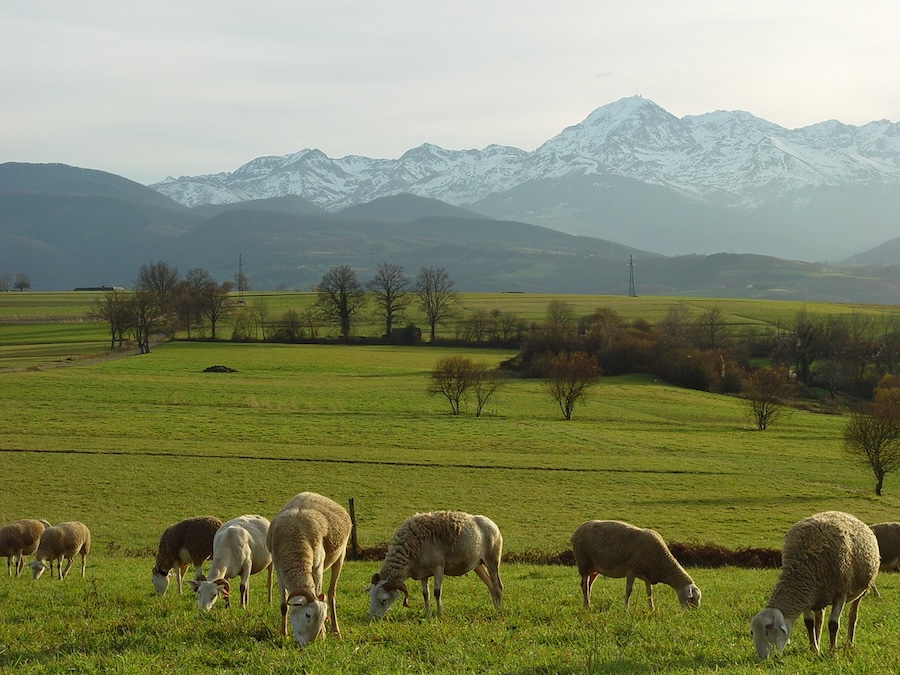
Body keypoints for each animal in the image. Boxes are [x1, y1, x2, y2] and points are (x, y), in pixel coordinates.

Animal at [266, 494, 350, 648]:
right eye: (307, 615)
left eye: (322, 617)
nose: (307, 645)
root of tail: (312, 494)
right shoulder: (279, 572)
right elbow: (283, 606)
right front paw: (283, 634)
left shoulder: (317, 569)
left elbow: (318, 592)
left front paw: (322, 634)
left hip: (341, 555)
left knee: (331, 594)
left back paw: (335, 631)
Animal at [368, 510, 506, 620]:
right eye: (370, 597)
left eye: (384, 600)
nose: (373, 618)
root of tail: (492, 524)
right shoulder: (423, 573)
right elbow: (425, 594)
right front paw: (428, 614)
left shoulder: (438, 567)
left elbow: (437, 592)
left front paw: (439, 614)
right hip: (478, 565)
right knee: (491, 586)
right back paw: (495, 607)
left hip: (492, 560)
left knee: (498, 586)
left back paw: (498, 612)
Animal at [568, 516, 704, 612]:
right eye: (691, 599)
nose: (692, 614)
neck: (661, 561)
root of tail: (576, 532)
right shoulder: (631, 570)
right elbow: (629, 590)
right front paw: (625, 609)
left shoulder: (647, 574)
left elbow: (650, 592)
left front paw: (651, 609)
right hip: (583, 562)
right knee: (584, 585)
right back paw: (587, 606)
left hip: (594, 568)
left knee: (588, 585)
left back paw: (587, 604)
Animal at [744, 512, 880, 660]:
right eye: (752, 632)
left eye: (768, 628)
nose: (763, 658)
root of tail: (845, 514)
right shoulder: (807, 595)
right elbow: (809, 623)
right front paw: (813, 649)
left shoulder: (841, 592)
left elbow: (833, 624)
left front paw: (832, 652)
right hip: (820, 594)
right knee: (819, 618)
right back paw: (818, 644)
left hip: (861, 590)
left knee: (852, 615)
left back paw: (849, 644)